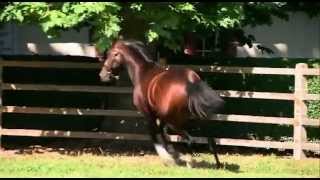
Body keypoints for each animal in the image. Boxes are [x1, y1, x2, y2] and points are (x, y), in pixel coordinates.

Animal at [97, 39, 225, 167]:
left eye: (111, 54)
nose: (102, 75)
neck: (143, 72)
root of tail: (191, 81)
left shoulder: (149, 114)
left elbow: (155, 135)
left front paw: (168, 158)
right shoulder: (160, 117)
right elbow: (162, 134)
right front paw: (173, 154)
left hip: (174, 121)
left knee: (190, 140)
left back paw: (188, 161)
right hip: (199, 120)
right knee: (210, 141)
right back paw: (216, 164)